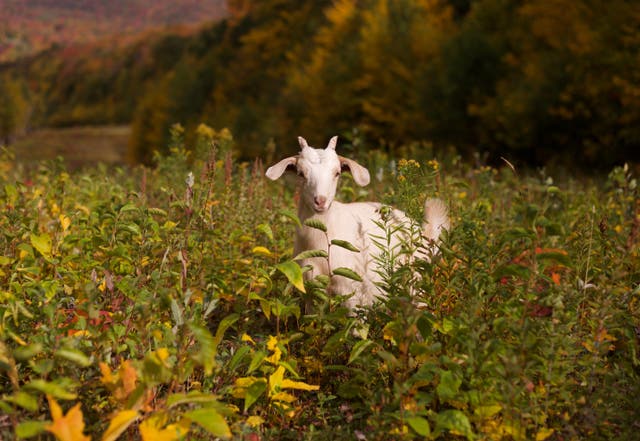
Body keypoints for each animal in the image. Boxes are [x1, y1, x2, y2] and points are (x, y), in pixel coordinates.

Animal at [266, 136, 449, 310]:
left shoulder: (352, 291)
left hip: (415, 282)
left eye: (337, 173)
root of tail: (422, 231)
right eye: (300, 173)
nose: (320, 201)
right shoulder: (311, 291)